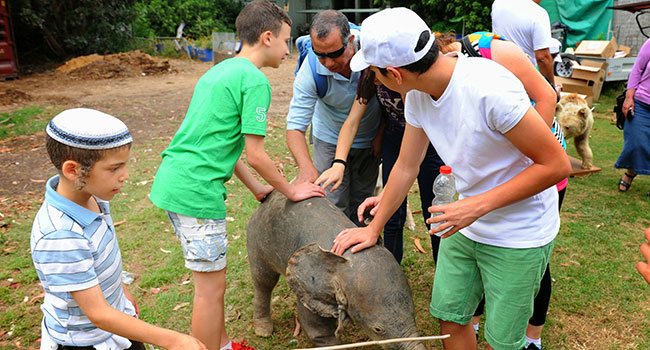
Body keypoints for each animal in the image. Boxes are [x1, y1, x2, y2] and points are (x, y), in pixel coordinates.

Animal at [244, 191, 426, 350]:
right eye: (378, 329)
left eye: (413, 314)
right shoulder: (308, 289)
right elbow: (317, 330)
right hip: (257, 239)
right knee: (263, 282)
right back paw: (263, 330)